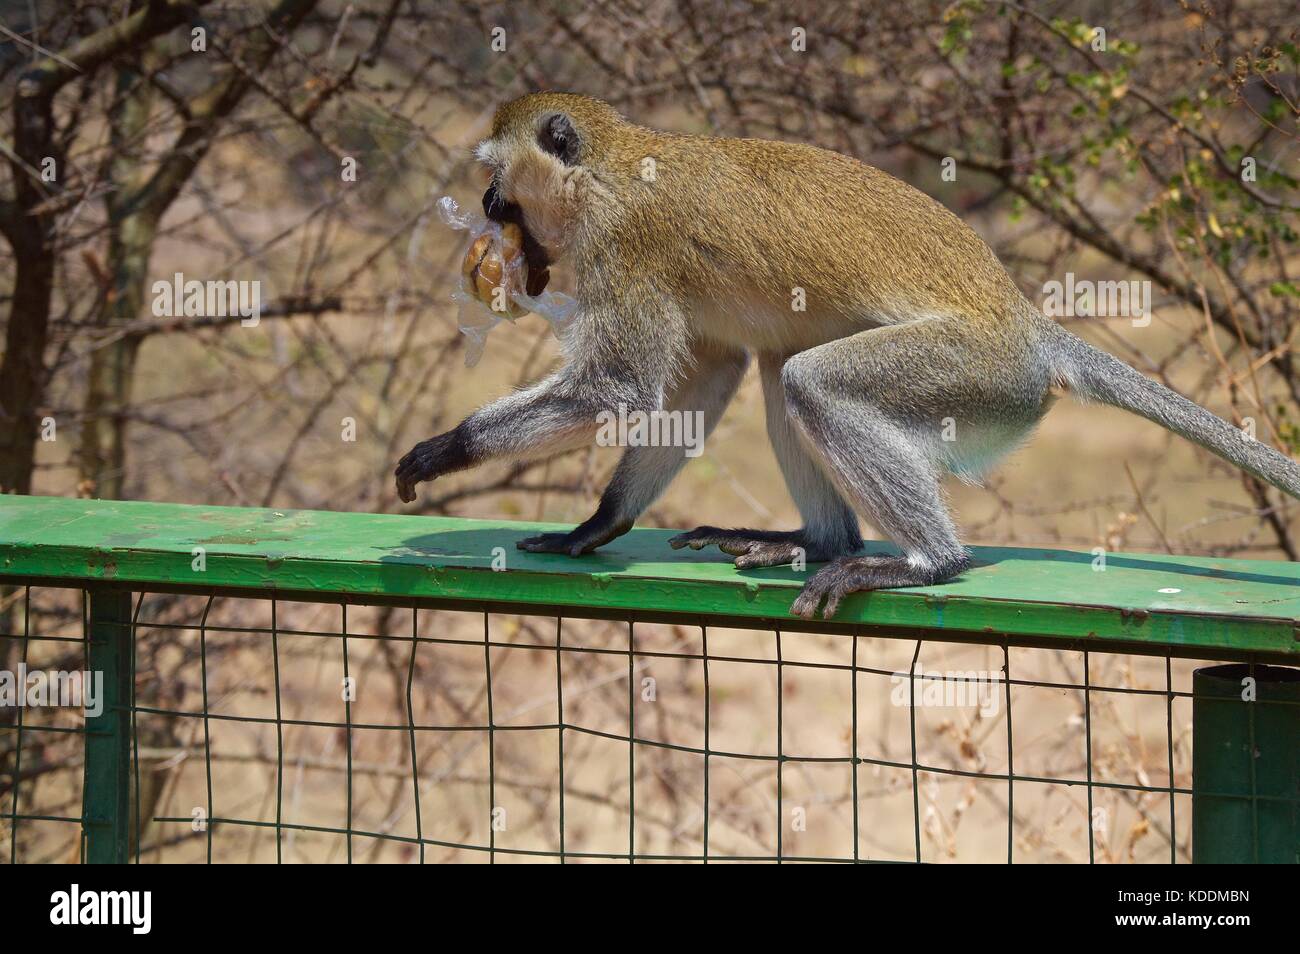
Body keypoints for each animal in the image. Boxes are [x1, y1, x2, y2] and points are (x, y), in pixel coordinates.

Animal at [395, 92, 1300, 620]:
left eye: (497, 183)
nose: (484, 204)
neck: (610, 168)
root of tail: (1026, 327)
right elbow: (707, 374)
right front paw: (598, 526)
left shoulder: (626, 243)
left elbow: (616, 391)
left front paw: (445, 449)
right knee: (777, 371)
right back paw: (821, 543)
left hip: (978, 375)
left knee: (812, 382)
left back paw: (927, 563)